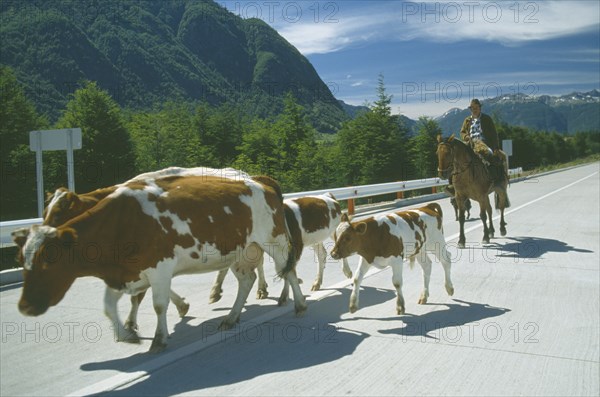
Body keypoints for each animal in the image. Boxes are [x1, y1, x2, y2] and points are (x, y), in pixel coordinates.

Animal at [12, 172, 304, 352]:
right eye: (22, 260)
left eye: (48, 261)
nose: (24, 306)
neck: (120, 223)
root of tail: (260, 181)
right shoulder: (125, 273)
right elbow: (109, 306)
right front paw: (127, 334)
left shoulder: (159, 268)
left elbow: (158, 304)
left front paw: (159, 338)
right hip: (240, 250)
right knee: (247, 279)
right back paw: (231, 317)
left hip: (274, 241)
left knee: (288, 271)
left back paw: (299, 304)